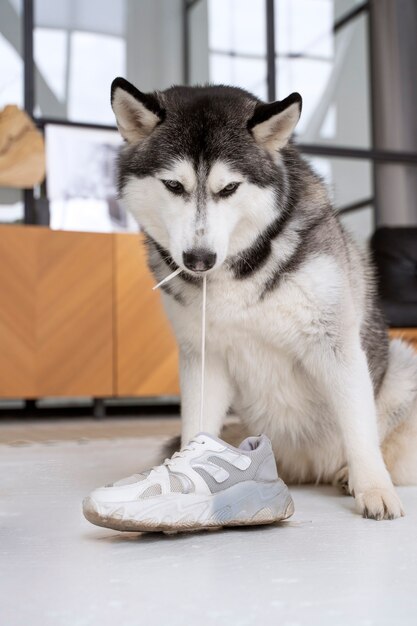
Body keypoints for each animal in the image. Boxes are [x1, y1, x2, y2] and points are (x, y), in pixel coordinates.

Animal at [110, 78, 416, 516]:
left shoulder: (335, 343)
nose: (198, 259)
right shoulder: (203, 355)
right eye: (173, 185)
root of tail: (306, 468)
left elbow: (360, 428)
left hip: (402, 365)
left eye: (229, 188)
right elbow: (196, 424)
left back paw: (347, 474)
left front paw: (375, 489)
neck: (237, 271)